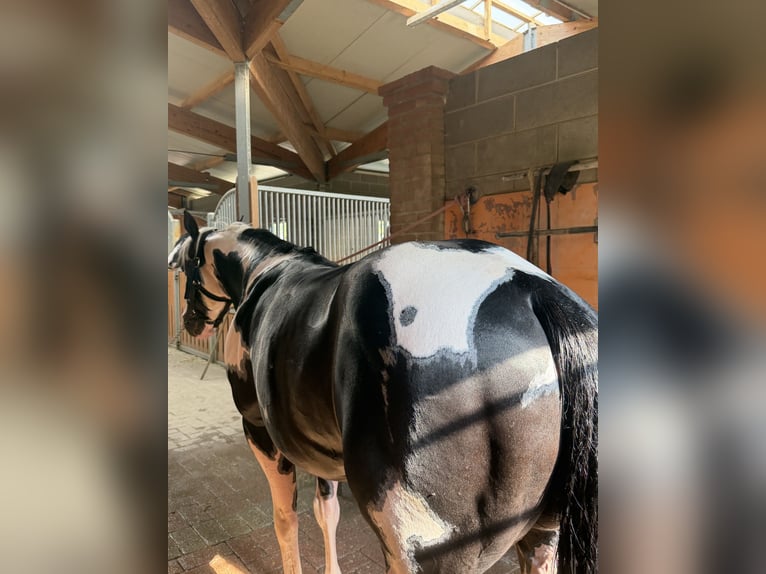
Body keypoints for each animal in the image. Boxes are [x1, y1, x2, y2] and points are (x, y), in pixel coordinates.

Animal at [168, 211, 597, 574]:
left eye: (186, 265)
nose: (190, 322)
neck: (264, 273)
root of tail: (535, 291)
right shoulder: (323, 449)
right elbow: (326, 512)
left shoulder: (260, 434)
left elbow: (285, 519)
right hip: (545, 533)